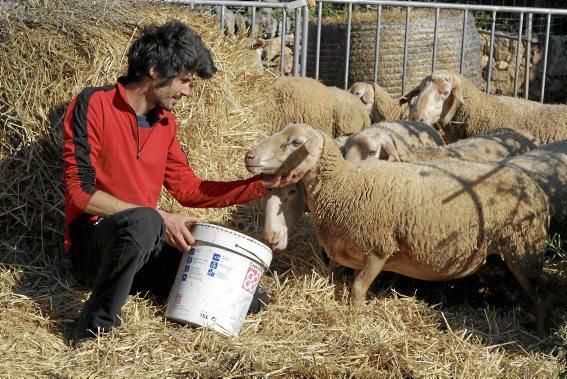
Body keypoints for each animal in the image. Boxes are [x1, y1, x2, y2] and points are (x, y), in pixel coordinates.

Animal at [246, 124, 552, 332]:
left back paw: (540, 333)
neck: (344, 185)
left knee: (541, 296)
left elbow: (357, 291)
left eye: (294, 142)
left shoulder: (378, 249)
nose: (249, 156)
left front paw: (354, 323)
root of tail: (530, 183)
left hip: (525, 250)